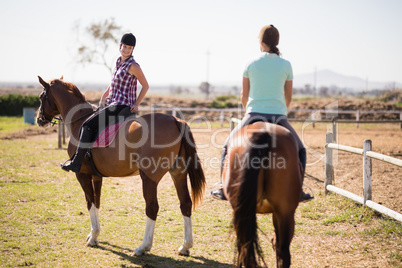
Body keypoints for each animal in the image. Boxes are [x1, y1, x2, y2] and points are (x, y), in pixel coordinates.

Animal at [36, 76, 206, 256]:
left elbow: (90, 201)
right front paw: (94, 235)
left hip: (149, 177)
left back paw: (143, 247)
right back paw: (185, 246)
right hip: (178, 174)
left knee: (152, 207)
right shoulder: (96, 176)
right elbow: (97, 201)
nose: (39, 119)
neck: (80, 120)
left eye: (41, 97)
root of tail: (175, 120)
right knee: (186, 203)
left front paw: (93, 236)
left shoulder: (82, 174)